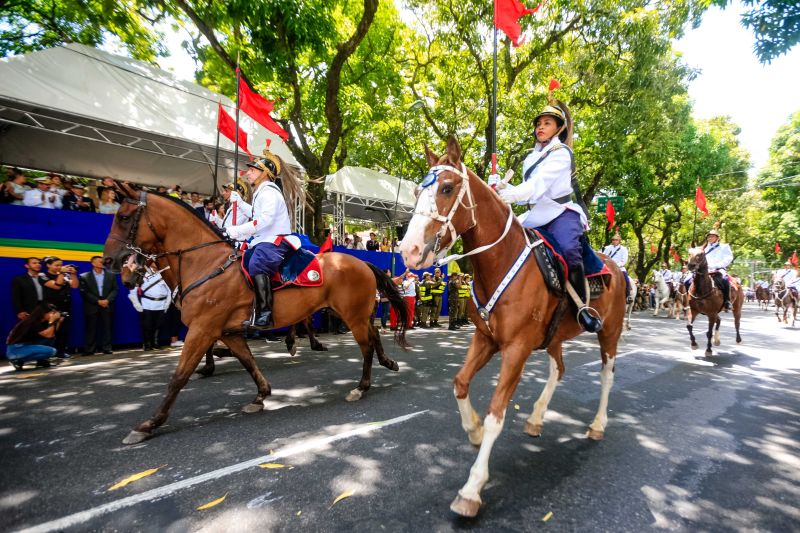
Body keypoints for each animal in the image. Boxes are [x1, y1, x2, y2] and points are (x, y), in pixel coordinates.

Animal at [103, 181, 410, 442]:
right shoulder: (227, 332)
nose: (110, 261)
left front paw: (150, 423)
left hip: (353, 315)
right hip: (353, 313)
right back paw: (387, 363)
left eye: (124, 217)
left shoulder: (202, 329)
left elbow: (179, 376)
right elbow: (249, 362)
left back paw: (361, 386)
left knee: (366, 345)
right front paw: (260, 395)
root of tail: (362, 262)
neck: (205, 263)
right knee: (373, 334)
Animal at [396, 137, 628, 516]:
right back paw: (536, 418)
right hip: (554, 337)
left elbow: (496, 413)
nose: (409, 251)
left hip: (609, 332)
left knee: (607, 375)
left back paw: (597, 425)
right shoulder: (485, 338)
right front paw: (473, 430)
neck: (499, 261)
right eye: (417, 191)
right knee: (558, 368)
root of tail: (616, 267)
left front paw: (472, 488)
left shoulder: (516, 349)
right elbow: (460, 383)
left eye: (447, 188)